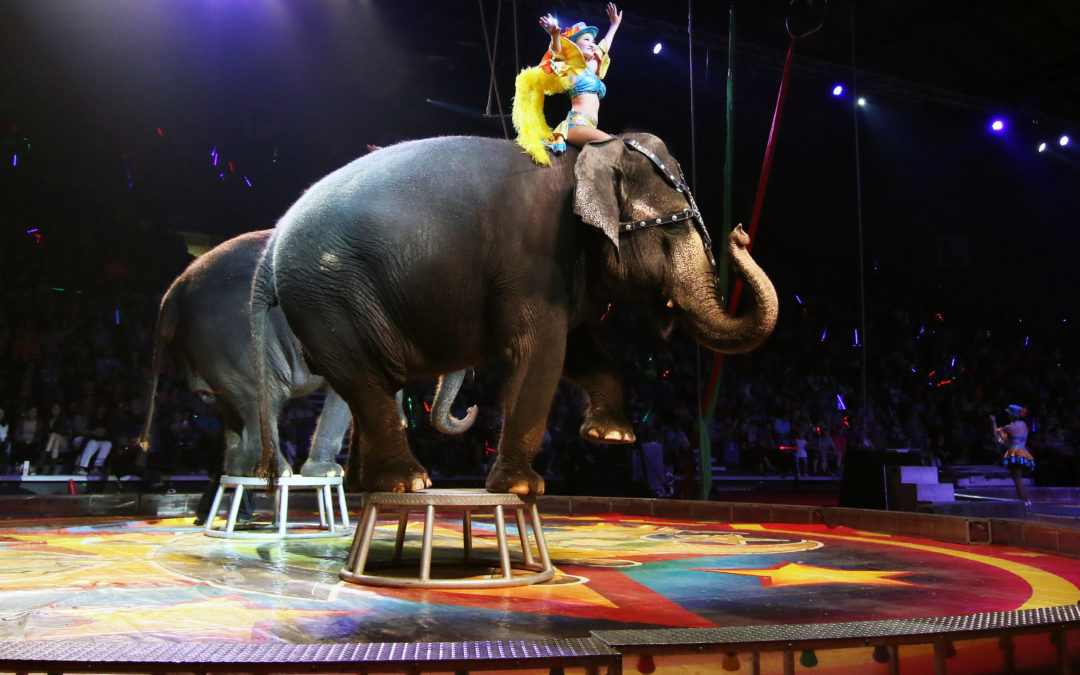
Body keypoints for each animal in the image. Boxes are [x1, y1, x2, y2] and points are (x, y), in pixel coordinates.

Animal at [252, 132, 777, 494]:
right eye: (670, 231)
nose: (741, 233)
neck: (582, 160)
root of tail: (271, 246)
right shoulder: (531, 258)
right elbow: (541, 351)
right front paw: (521, 488)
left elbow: (577, 345)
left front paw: (610, 436)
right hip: (327, 299)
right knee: (366, 382)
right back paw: (409, 483)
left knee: (368, 385)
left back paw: (369, 486)